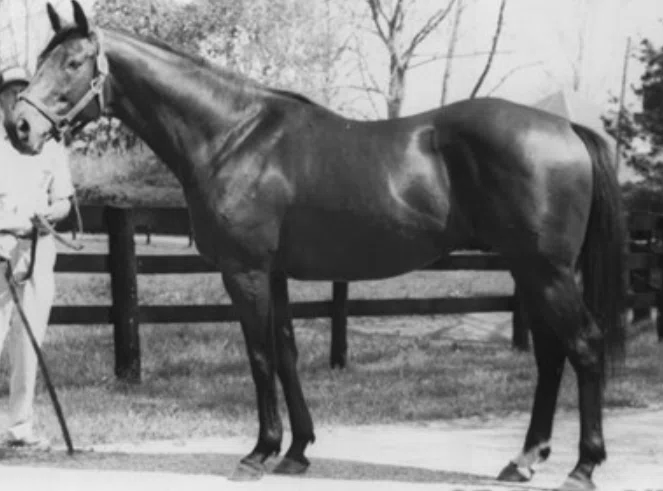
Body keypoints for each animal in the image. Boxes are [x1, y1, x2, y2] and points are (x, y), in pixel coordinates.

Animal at [8, 2, 626, 489]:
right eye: (39, 62)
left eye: (72, 63)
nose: (19, 128)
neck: (232, 137)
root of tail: (565, 129)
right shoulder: (275, 274)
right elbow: (286, 353)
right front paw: (296, 452)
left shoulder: (246, 272)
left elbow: (260, 357)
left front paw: (258, 453)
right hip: (529, 271)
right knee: (551, 356)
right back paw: (523, 461)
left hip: (546, 272)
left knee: (585, 347)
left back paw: (582, 467)